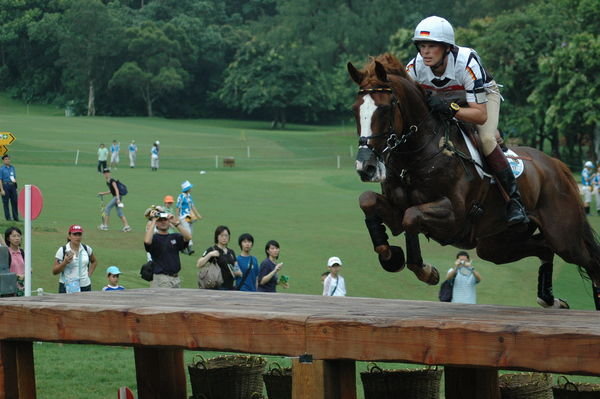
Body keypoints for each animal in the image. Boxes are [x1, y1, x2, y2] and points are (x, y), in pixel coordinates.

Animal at [344, 52, 600, 310]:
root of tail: (555, 165)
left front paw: (426, 271)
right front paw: (391, 256)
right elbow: (369, 201)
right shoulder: (397, 211)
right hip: (496, 245)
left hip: (563, 236)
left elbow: (412, 216)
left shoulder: (454, 215)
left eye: (385, 109)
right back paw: (550, 299)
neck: (417, 156)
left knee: (588, 260)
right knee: (544, 249)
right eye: (355, 109)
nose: (366, 167)